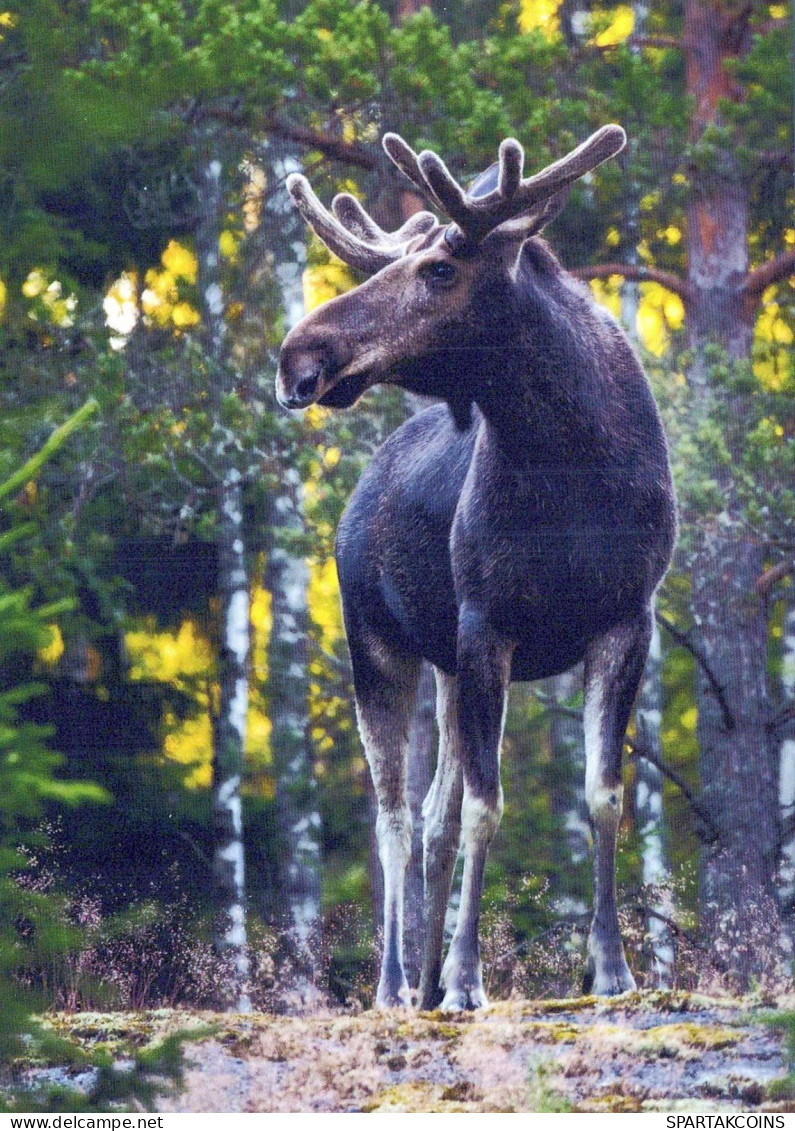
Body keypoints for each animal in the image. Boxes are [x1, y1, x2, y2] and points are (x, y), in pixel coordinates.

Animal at [277, 128, 673, 1013]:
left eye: (438, 268)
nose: (297, 353)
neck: (572, 467)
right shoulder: (486, 621)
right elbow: (487, 808)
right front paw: (465, 978)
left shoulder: (625, 616)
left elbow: (601, 793)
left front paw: (611, 969)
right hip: (376, 642)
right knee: (393, 817)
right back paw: (398, 983)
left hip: (446, 663)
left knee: (429, 814)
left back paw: (421, 978)